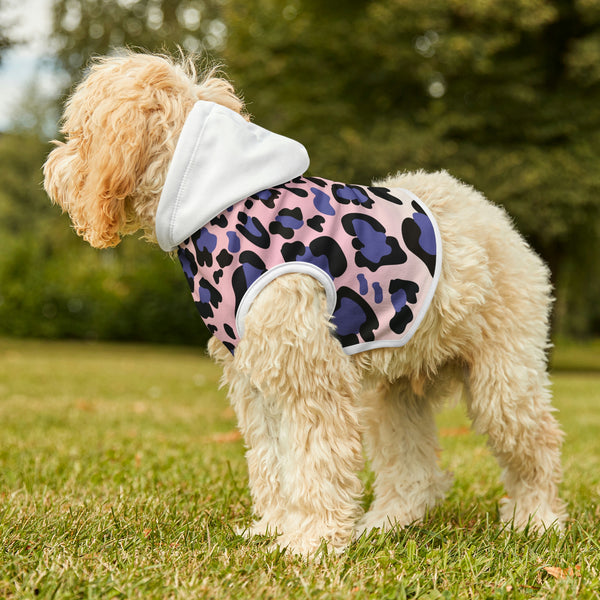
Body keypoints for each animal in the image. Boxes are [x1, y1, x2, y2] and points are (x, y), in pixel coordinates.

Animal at [43, 52, 568, 556]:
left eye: (78, 133)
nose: (51, 170)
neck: (220, 206)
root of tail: (493, 215)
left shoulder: (309, 376)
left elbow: (315, 461)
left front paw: (309, 542)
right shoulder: (256, 379)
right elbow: (272, 461)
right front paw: (275, 528)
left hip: (504, 379)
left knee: (537, 446)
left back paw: (536, 520)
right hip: (394, 394)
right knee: (413, 470)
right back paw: (386, 524)